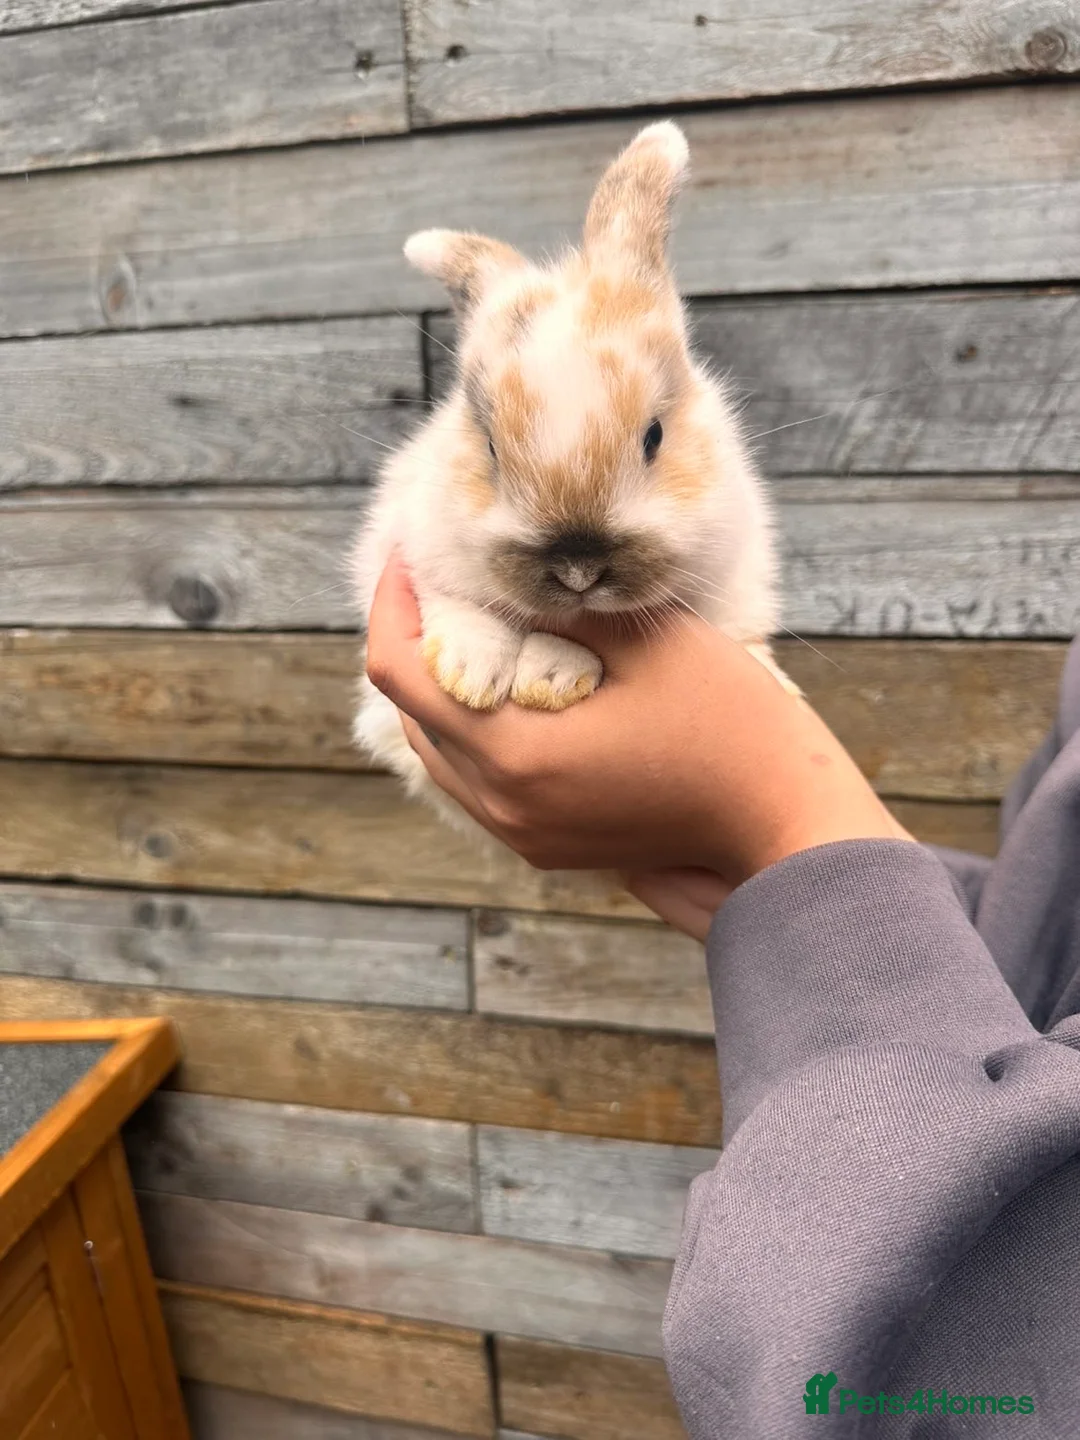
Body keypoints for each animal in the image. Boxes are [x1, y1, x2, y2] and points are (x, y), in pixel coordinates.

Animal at [351, 119, 796, 852]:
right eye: (491, 448)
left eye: (654, 436)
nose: (579, 570)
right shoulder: (417, 550)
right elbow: (458, 605)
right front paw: (477, 672)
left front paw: (550, 673)